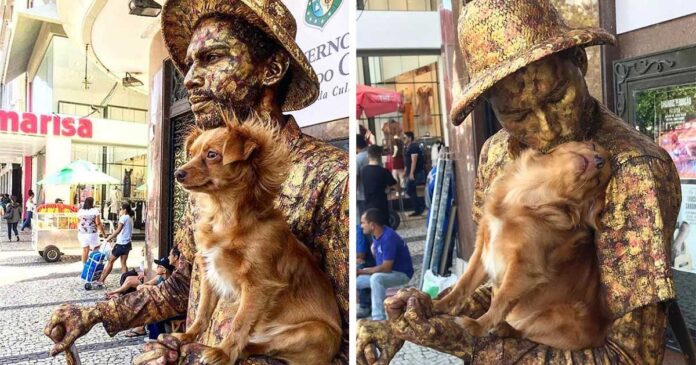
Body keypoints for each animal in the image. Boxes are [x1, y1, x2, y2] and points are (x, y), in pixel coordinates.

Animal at [171, 114, 340, 364]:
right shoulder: (210, 272)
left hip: (313, 332)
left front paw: (223, 353)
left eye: (212, 155)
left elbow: (239, 323)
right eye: (191, 154)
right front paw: (188, 335)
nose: (178, 173)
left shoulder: (258, 285)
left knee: (265, 345)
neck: (224, 215)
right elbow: (202, 311)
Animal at [438, 140, 612, 350]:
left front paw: (478, 325)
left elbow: (501, 300)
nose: (600, 160)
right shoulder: (482, 249)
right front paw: (439, 305)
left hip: (555, 316)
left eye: (597, 181)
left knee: (524, 333)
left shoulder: (524, 268)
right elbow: (463, 283)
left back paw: (502, 329)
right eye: (593, 146)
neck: (530, 194)